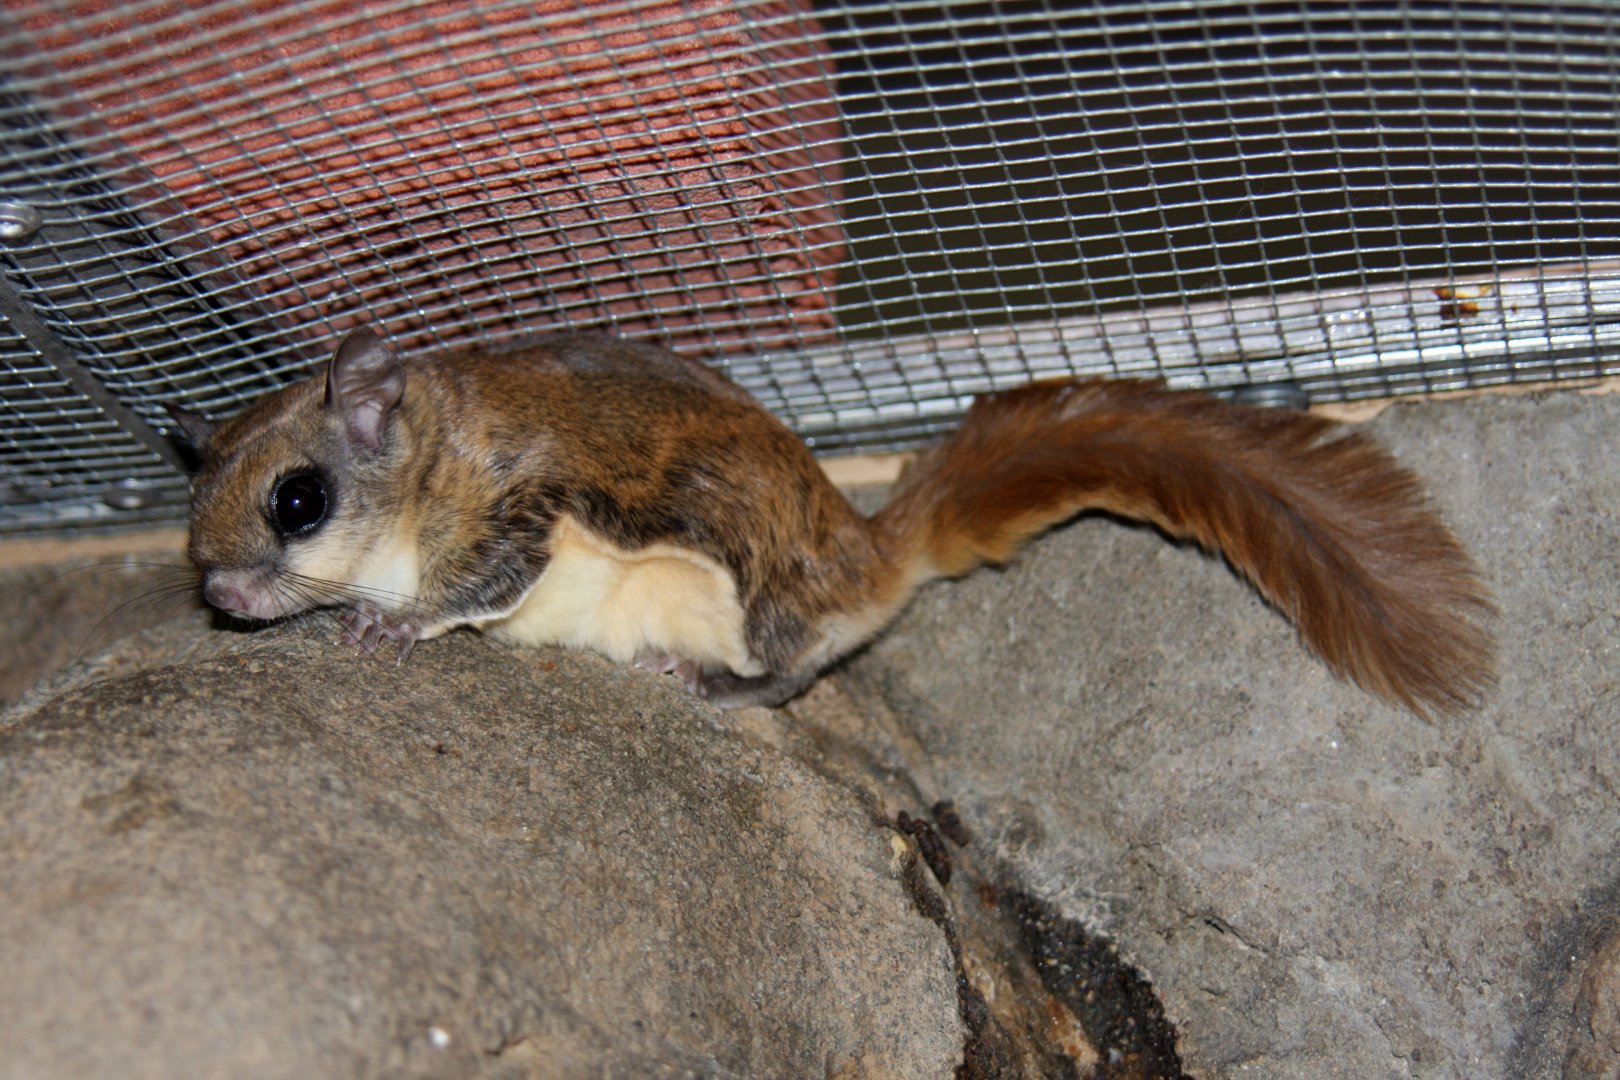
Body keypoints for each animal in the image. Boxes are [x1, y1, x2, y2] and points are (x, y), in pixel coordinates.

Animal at [172, 326, 1495, 715]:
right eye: (198, 504)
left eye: (299, 499)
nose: (222, 599)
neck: (434, 450)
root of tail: (867, 548)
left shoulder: (522, 511)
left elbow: (476, 587)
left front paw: (387, 628)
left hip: (750, 582)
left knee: (801, 661)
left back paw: (708, 686)